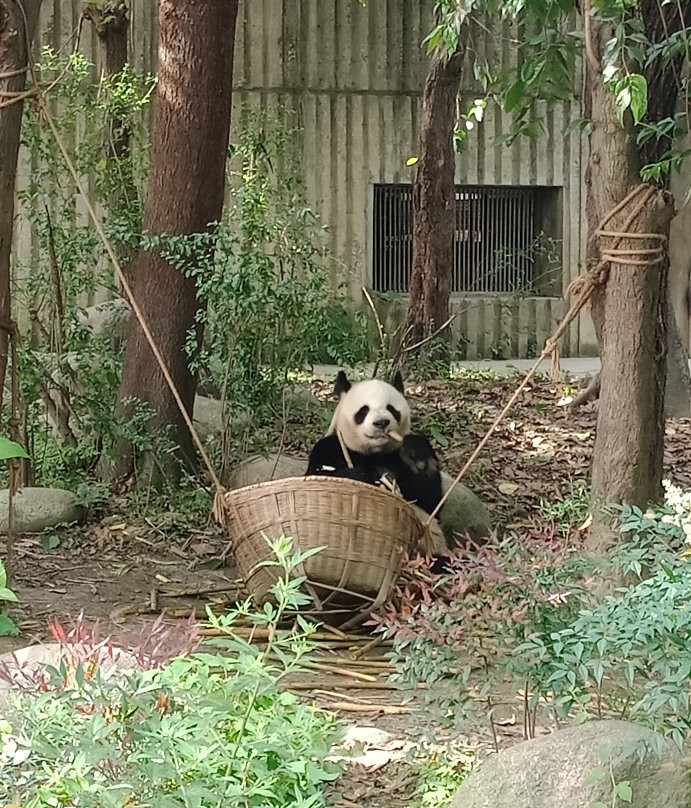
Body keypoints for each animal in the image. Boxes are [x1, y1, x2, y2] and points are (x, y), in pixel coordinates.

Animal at [306, 370, 450, 557]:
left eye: (391, 409)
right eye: (363, 410)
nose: (381, 422)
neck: (373, 453)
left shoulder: (395, 456)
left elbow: (429, 502)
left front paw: (417, 456)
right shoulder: (330, 447)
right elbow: (320, 476)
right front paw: (369, 477)